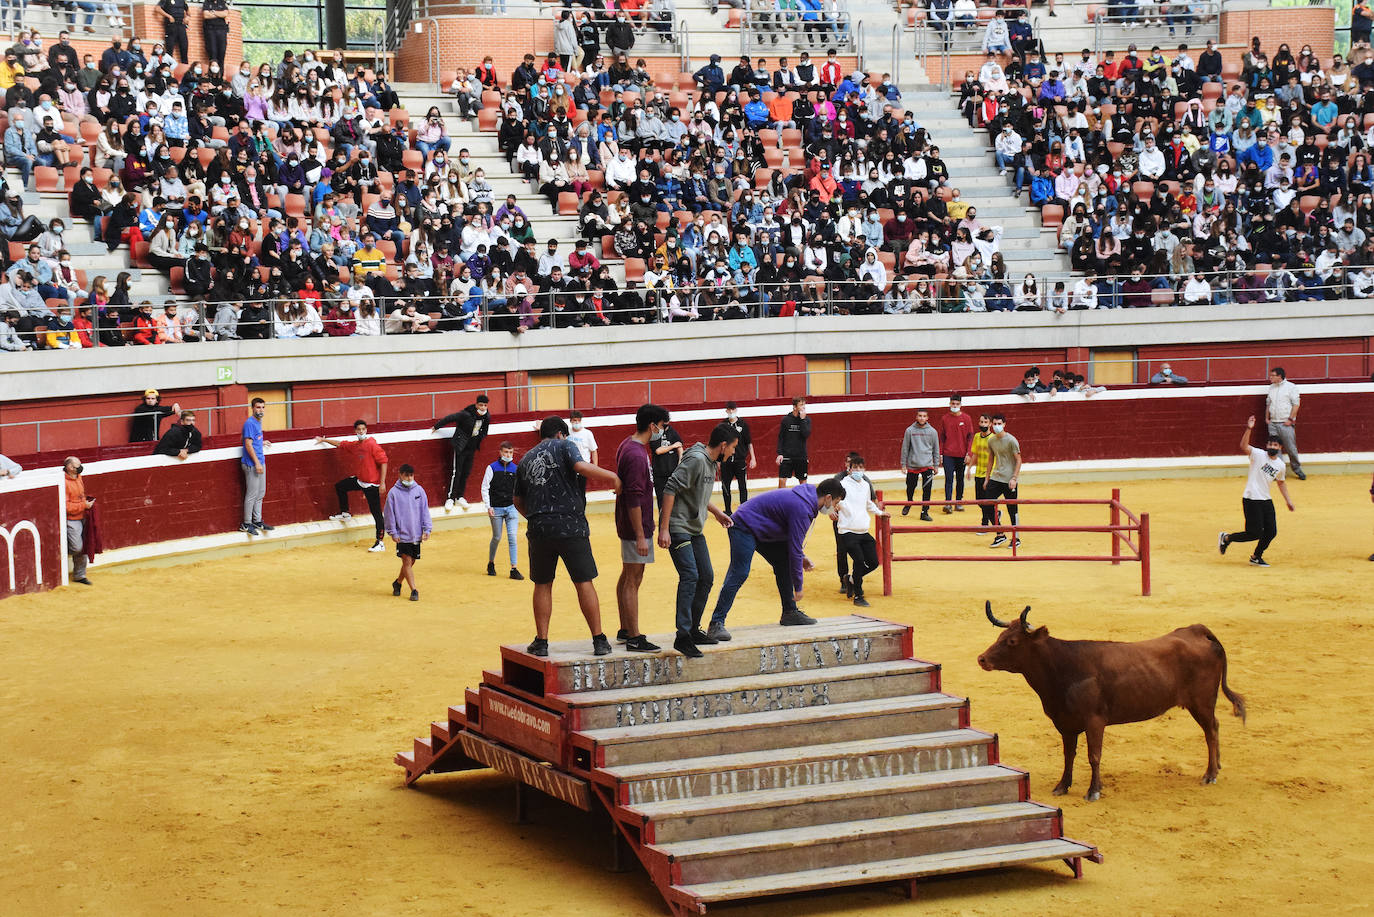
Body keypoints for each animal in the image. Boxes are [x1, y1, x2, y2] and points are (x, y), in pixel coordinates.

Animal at [978, 599, 1247, 797]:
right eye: (999, 637)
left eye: (1012, 641)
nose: (982, 659)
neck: (1064, 666)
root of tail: (1197, 630)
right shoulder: (1066, 724)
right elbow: (1068, 755)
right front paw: (1062, 786)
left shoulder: (1094, 721)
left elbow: (1094, 756)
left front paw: (1093, 791)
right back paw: (1216, 767)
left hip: (1202, 703)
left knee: (1211, 730)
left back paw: (1210, 774)